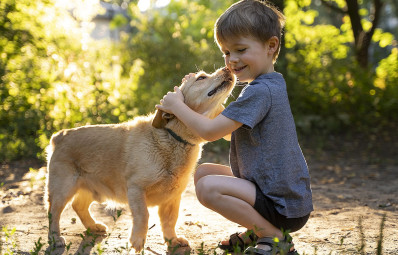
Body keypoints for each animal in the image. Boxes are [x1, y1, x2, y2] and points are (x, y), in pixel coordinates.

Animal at [44, 66, 235, 252]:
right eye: (201, 78)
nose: (228, 68)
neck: (172, 138)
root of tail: (59, 135)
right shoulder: (136, 189)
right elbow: (144, 216)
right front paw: (137, 241)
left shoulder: (173, 197)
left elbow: (170, 221)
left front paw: (172, 240)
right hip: (63, 189)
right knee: (53, 213)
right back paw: (55, 238)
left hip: (92, 189)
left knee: (79, 206)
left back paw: (93, 226)